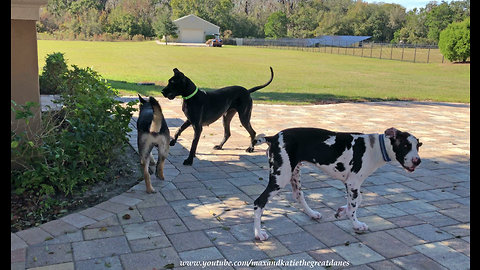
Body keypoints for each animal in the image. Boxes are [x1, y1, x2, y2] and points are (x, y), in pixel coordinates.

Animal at [253, 127, 422, 240]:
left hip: (293, 174)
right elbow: (354, 207)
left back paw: (312, 214)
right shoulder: (353, 183)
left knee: (298, 195)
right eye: (405, 146)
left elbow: (357, 200)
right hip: (280, 178)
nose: (418, 161)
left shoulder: (352, 184)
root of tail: (273, 137)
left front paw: (341, 211)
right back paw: (258, 233)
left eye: (418, 146)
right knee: (259, 202)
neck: (374, 148)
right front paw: (356, 224)